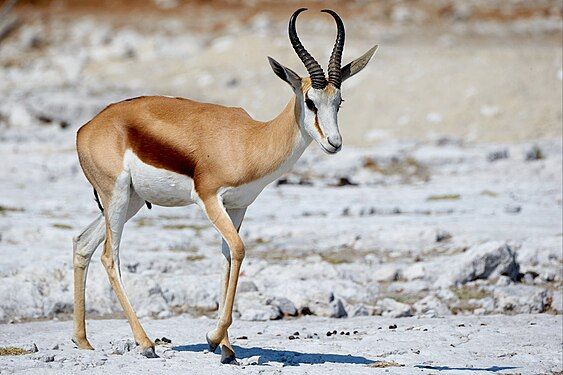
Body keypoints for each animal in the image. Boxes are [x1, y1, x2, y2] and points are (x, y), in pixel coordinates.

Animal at [71, 6, 378, 364]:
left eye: (339, 101)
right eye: (310, 101)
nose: (334, 143)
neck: (250, 141)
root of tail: (87, 128)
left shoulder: (237, 207)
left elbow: (227, 258)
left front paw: (227, 347)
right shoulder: (209, 198)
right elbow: (240, 250)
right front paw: (214, 338)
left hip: (128, 202)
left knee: (83, 243)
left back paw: (82, 340)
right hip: (117, 197)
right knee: (109, 256)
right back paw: (145, 343)